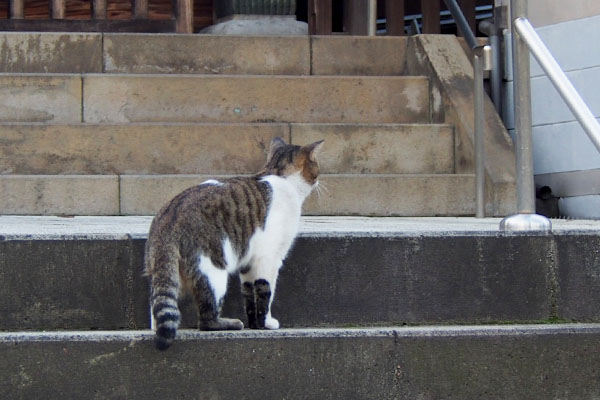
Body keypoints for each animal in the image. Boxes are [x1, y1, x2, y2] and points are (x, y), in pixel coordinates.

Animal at [144, 138, 324, 350]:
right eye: (316, 165)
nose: (318, 180)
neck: (279, 175)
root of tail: (169, 219)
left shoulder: (247, 261)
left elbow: (249, 293)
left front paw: (255, 324)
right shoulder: (269, 258)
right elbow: (266, 291)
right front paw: (266, 323)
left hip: (167, 273)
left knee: (158, 304)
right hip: (213, 270)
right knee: (205, 319)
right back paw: (229, 323)